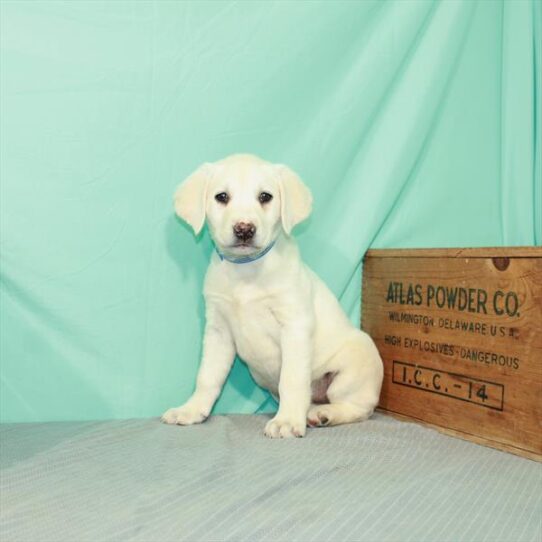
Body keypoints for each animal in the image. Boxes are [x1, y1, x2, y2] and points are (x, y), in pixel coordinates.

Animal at [164, 155, 384, 440]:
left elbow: (291, 378)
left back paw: (324, 414)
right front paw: (191, 409)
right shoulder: (218, 331)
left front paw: (287, 421)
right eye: (221, 196)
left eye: (265, 196)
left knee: (359, 408)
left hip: (355, 363)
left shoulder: (294, 325)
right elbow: (207, 376)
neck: (246, 271)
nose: (244, 229)